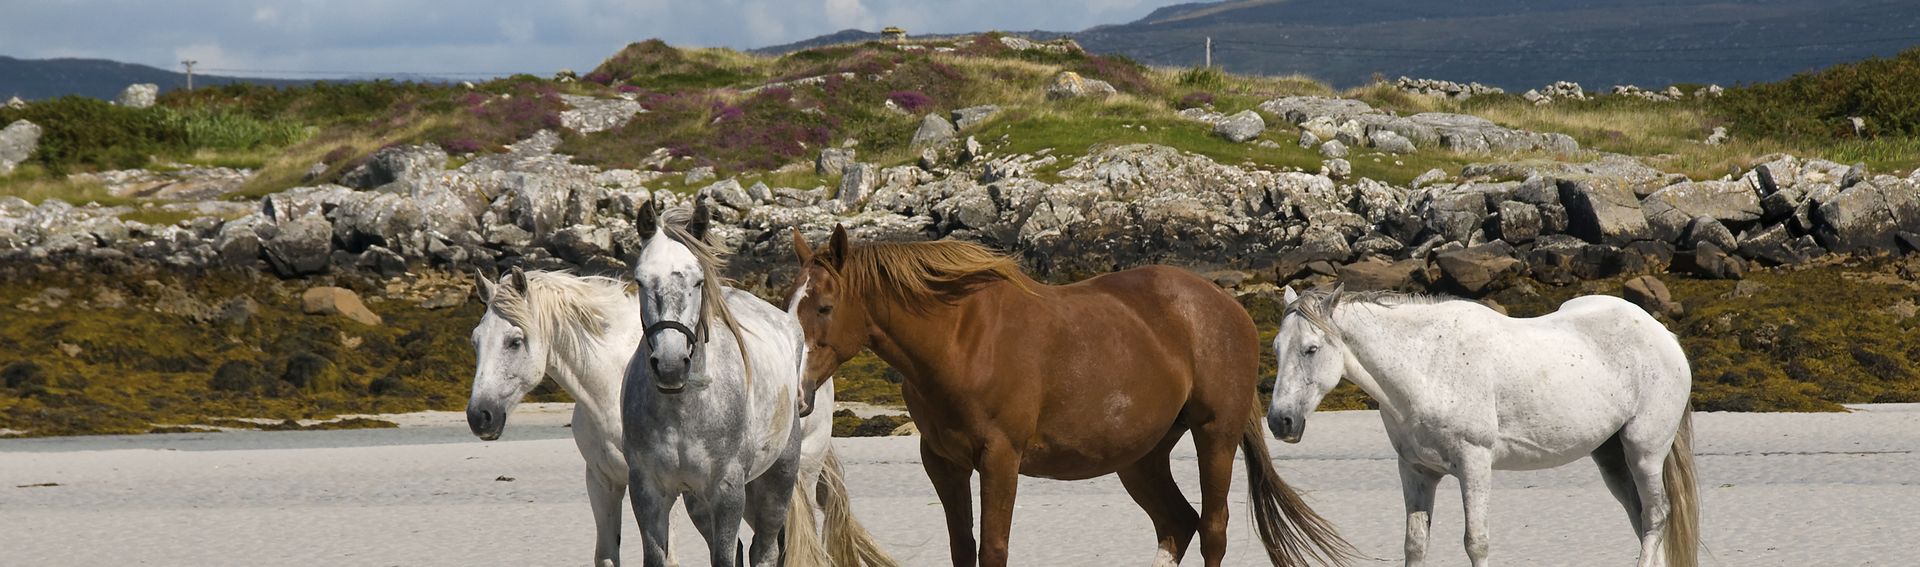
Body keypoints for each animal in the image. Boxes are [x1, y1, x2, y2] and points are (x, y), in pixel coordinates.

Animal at [467, 265, 892, 566]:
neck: (610, 380)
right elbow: (606, 556)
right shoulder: (604, 481)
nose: (479, 416)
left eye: (515, 341)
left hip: (791, 478)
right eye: (475, 339)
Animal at [622, 202, 894, 567]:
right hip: (703, 499)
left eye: (698, 281)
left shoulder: (727, 491)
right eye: (640, 280)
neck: (682, 409)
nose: (670, 365)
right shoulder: (648, 490)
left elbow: (726, 557)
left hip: (779, 481)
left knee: (766, 550)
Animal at [786, 225, 1356, 567]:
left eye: (824, 307)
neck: (961, 339)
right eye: (790, 301)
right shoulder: (942, 463)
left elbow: (993, 548)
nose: (799, 392)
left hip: (1215, 434)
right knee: (1177, 523)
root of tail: (1225, 306)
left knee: (1213, 528)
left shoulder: (1000, 458)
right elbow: (962, 547)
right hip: (1141, 457)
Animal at [1266, 286, 1699, 567]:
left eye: (1311, 349)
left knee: (1655, 515)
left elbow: (1476, 542)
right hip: (1611, 459)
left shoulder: (1474, 466)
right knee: (1640, 516)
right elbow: (1415, 543)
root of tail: (1662, 334)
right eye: (1275, 348)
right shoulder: (1416, 471)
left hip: (1643, 453)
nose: (1279, 421)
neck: (1428, 366)